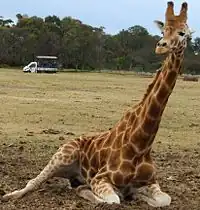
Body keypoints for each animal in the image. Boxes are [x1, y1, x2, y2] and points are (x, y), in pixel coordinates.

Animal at [1, 1, 194, 208]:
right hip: (63, 155)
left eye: (183, 33)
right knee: (33, 182)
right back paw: (9, 196)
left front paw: (137, 195)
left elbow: (164, 199)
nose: (161, 46)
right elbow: (114, 200)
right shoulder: (100, 178)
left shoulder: (151, 181)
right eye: (163, 31)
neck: (141, 144)